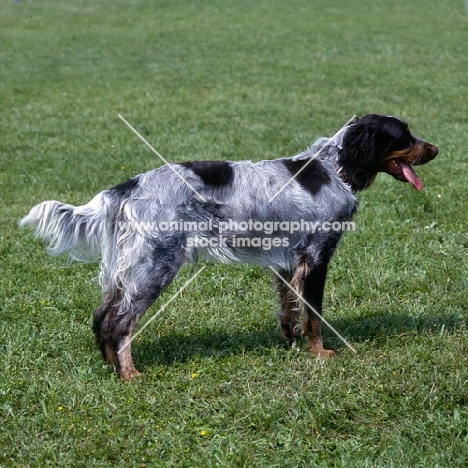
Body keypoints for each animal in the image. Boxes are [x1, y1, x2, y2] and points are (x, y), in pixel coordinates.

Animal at [21, 114, 438, 380]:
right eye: (403, 136)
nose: (435, 148)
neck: (334, 168)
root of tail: (129, 185)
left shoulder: (287, 262)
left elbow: (289, 309)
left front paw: (290, 343)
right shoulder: (317, 257)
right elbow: (314, 315)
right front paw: (320, 354)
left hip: (128, 269)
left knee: (102, 317)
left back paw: (110, 367)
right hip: (154, 266)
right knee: (120, 323)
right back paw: (129, 374)